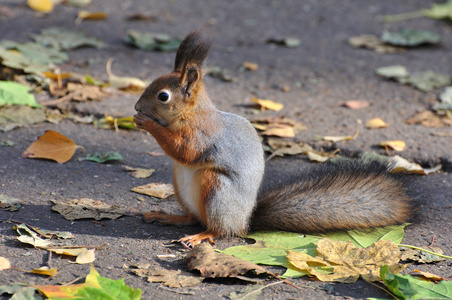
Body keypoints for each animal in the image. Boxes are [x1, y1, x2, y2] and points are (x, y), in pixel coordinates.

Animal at [132, 30, 412, 247]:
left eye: (163, 96)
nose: (136, 107)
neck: (191, 113)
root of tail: (245, 222)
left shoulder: (203, 133)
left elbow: (185, 150)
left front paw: (147, 123)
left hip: (216, 189)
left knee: (220, 230)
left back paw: (201, 236)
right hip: (180, 185)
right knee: (192, 218)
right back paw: (169, 217)